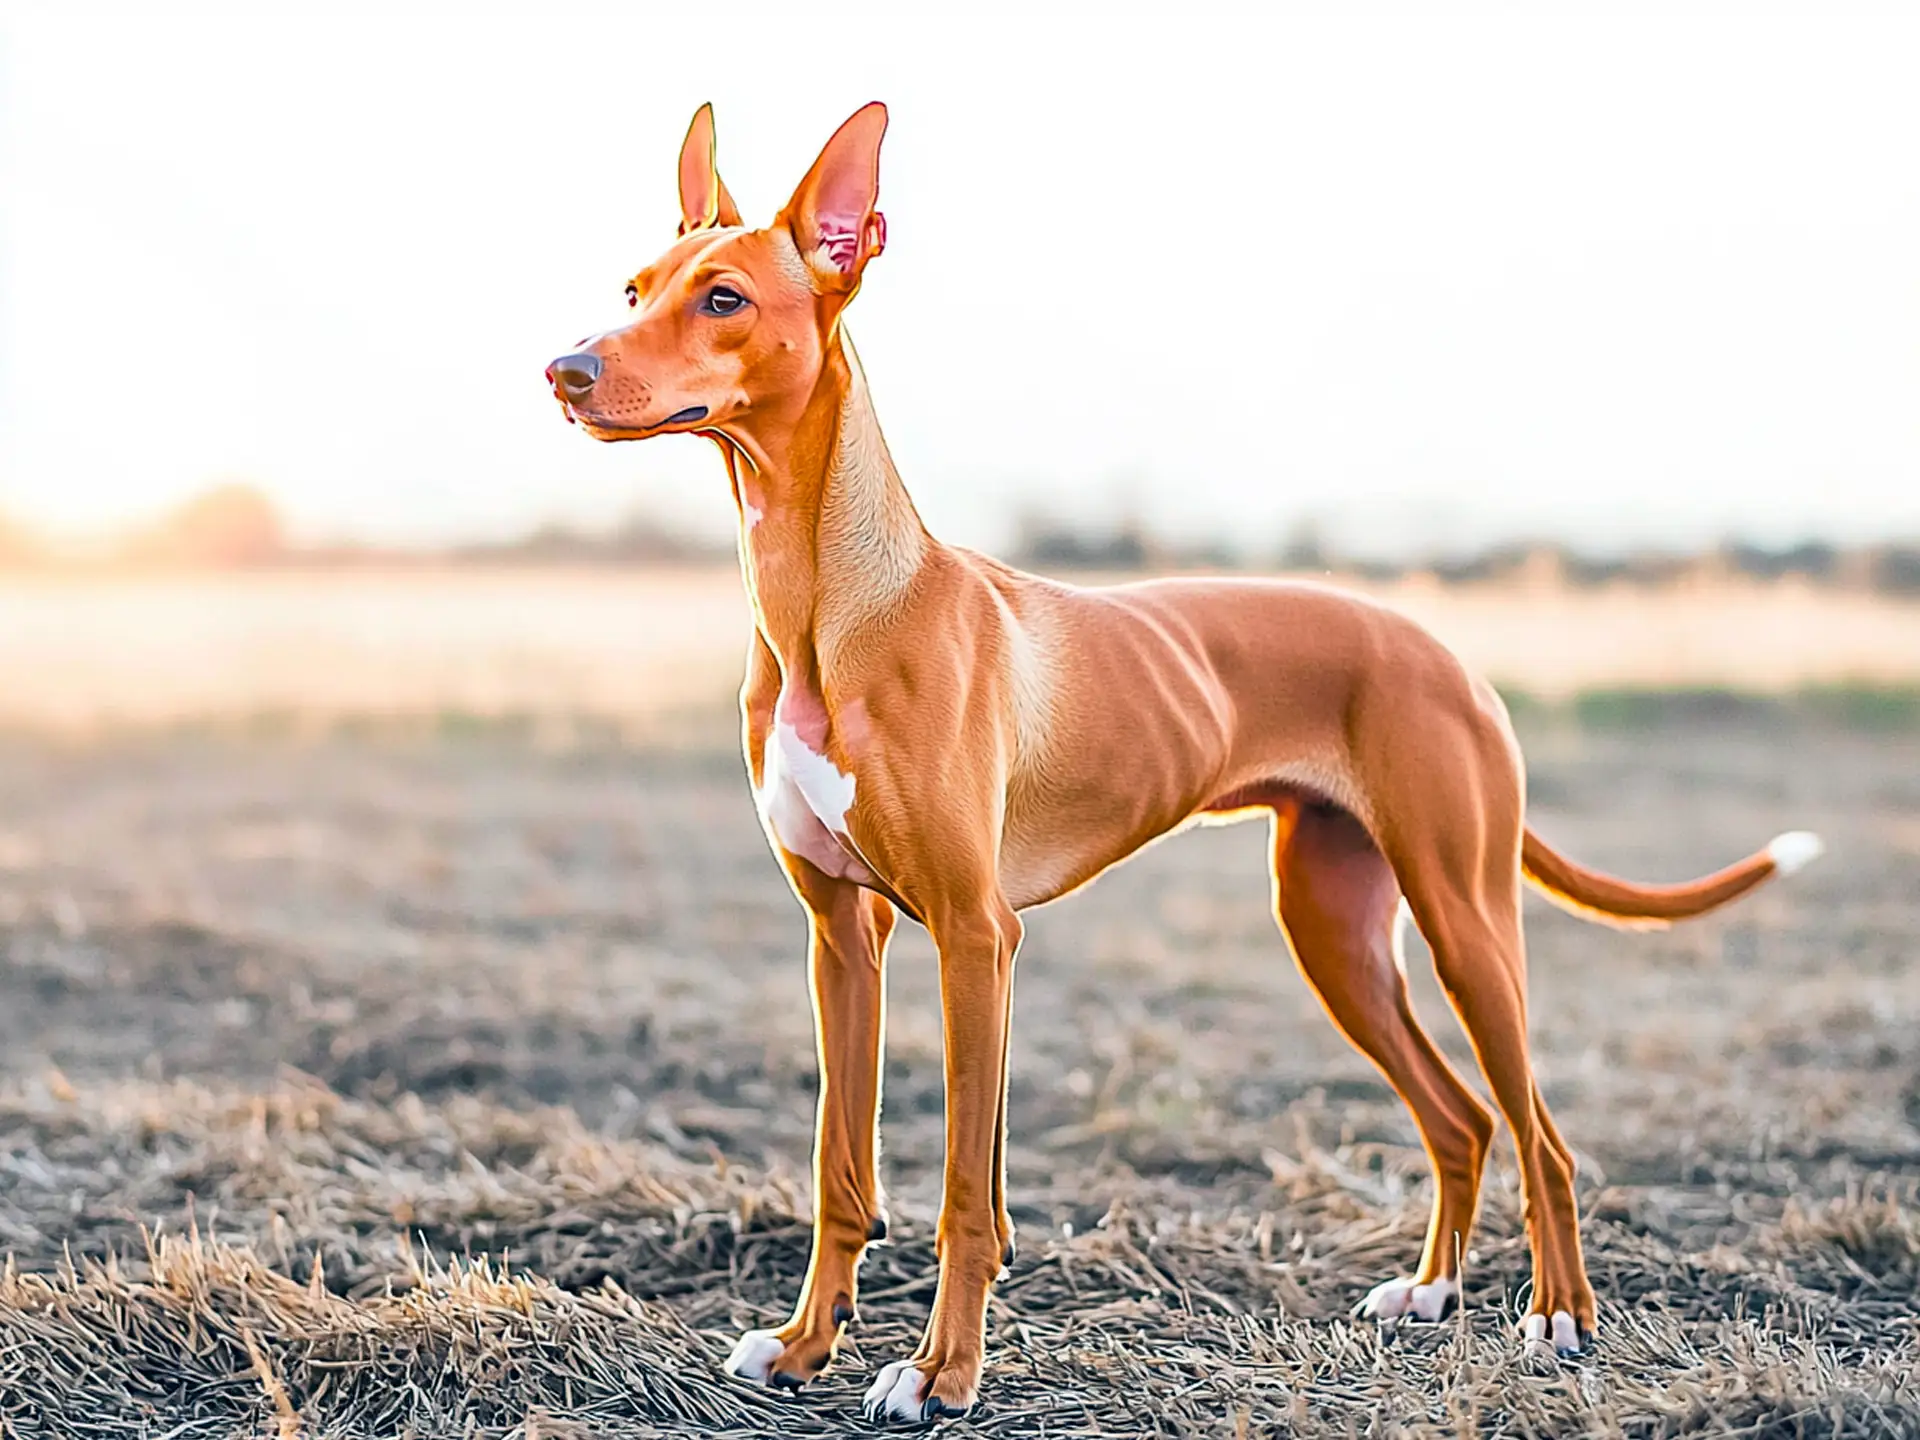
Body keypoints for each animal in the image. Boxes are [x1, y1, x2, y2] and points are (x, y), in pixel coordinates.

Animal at [549, 104, 1820, 1436]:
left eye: (725, 299)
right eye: (633, 288)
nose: (564, 370)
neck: (833, 605)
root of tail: (1448, 651)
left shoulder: (973, 934)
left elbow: (962, 1190)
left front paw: (940, 1376)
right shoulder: (842, 935)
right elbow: (838, 1167)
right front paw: (804, 1349)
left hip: (1466, 922)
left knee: (1543, 1137)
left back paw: (1561, 1318)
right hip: (1335, 932)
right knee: (1463, 1119)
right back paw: (1427, 1294)